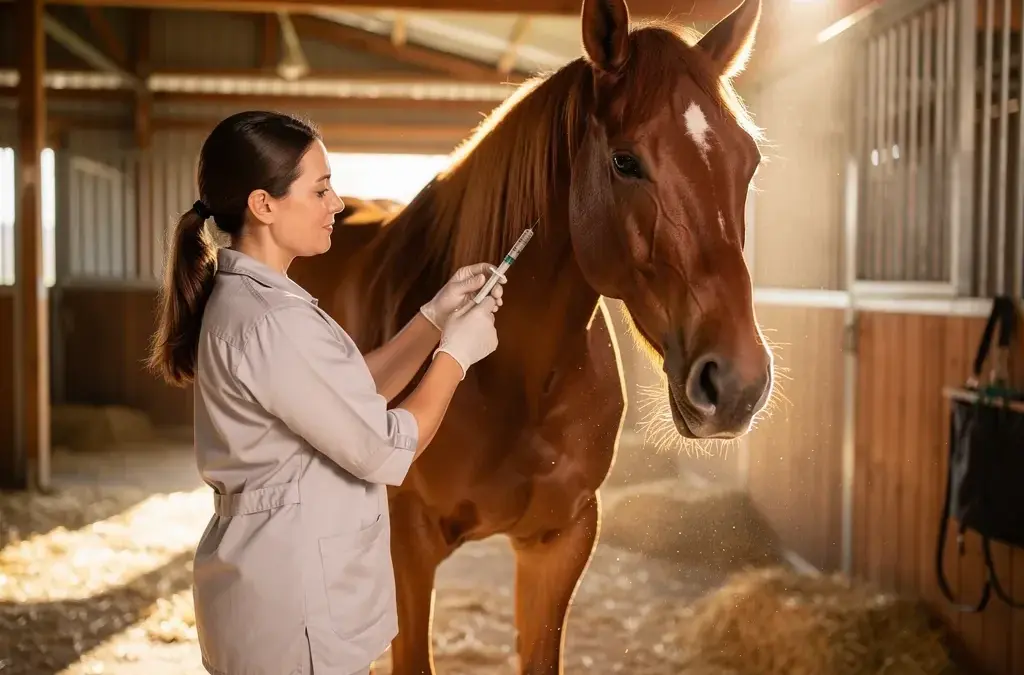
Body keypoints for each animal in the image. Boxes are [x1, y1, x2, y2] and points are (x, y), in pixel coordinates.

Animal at [287, 0, 774, 671]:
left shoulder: (558, 542)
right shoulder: (407, 542)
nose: (736, 384)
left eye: (747, 163)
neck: (516, 380)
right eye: (625, 161)